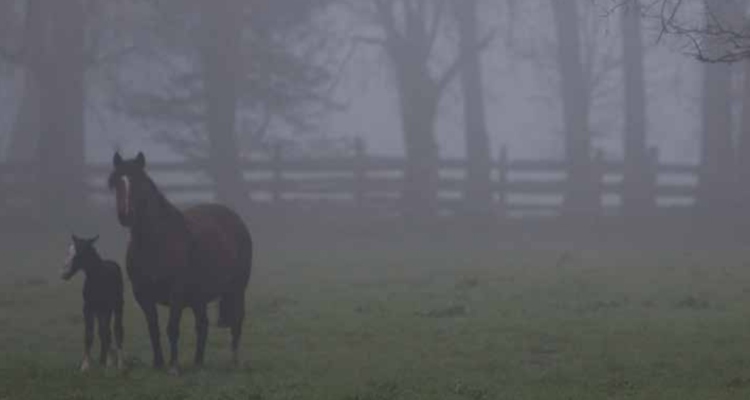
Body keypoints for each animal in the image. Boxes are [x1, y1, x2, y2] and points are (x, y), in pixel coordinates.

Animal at [61, 234, 125, 372]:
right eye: (68, 252)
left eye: (79, 253)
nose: (64, 274)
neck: (97, 278)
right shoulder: (88, 308)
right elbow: (89, 334)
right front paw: (85, 365)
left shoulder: (106, 308)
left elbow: (108, 332)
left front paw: (112, 363)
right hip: (100, 311)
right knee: (103, 331)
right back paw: (103, 359)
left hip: (116, 305)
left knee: (116, 329)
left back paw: (118, 363)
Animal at [108, 152, 254, 374]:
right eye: (117, 182)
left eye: (139, 182)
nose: (126, 215)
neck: (156, 242)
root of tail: (235, 219)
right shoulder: (142, 293)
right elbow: (153, 328)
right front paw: (158, 363)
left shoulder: (176, 292)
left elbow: (172, 327)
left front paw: (174, 366)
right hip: (199, 297)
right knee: (202, 325)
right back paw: (198, 362)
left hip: (237, 289)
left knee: (236, 321)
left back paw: (234, 361)